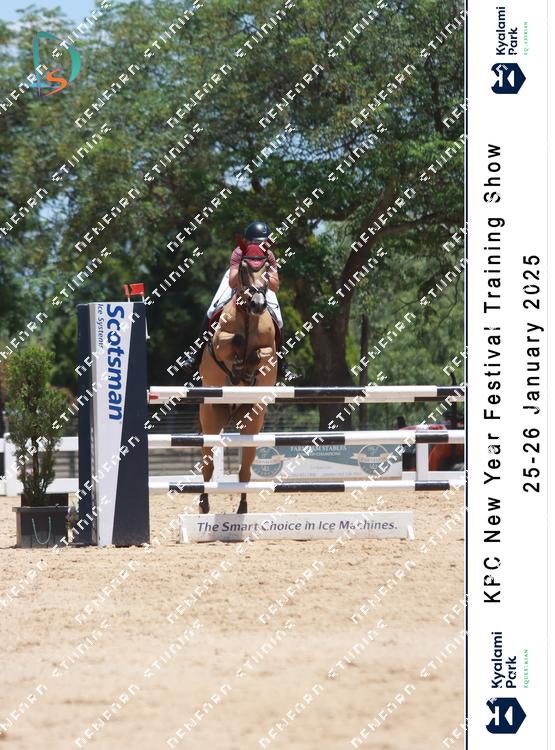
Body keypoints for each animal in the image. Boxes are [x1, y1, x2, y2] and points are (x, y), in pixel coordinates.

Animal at [198, 244, 278, 514]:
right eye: (243, 269)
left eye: (268, 268)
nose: (258, 305)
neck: (248, 317)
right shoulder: (218, 341)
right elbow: (235, 341)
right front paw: (237, 369)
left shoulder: (269, 350)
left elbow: (258, 353)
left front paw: (247, 371)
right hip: (211, 418)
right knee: (208, 465)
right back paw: (204, 504)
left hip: (251, 422)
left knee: (244, 472)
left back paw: (242, 508)